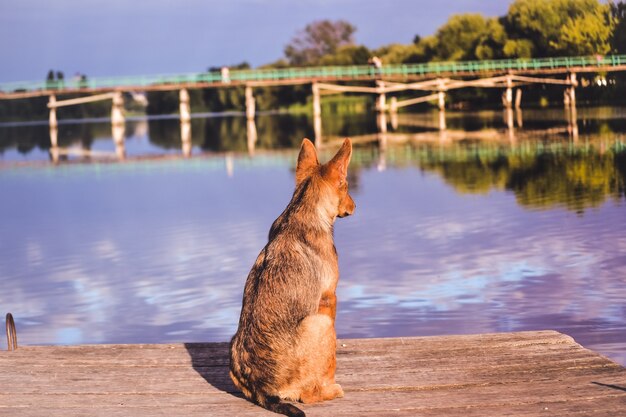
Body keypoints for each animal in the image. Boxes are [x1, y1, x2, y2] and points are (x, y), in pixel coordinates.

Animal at [229, 137, 356, 416]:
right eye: (346, 184)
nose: (355, 206)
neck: (300, 208)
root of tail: (260, 389)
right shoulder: (329, 299)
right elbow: (330, 361)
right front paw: (329, 383)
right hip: (320, 322)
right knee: (307, 396)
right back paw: (330, 391)